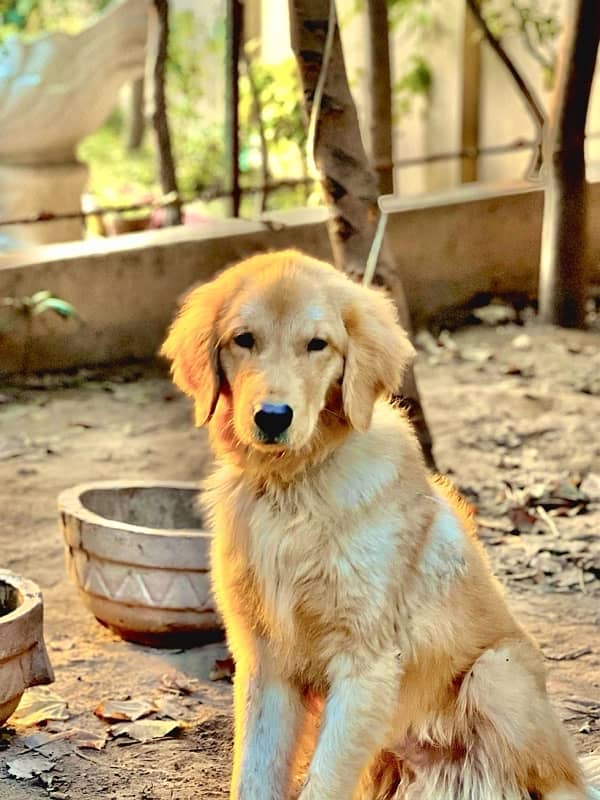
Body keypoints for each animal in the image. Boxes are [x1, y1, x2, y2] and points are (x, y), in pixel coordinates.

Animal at [161, 252, 592, 800]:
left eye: (317, 344)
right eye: (244, 339)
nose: (273, 417)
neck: (294, 489)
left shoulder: (365, 663)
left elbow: (322, 782)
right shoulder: (264, 659)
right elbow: (255, 773)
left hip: (499, 675)